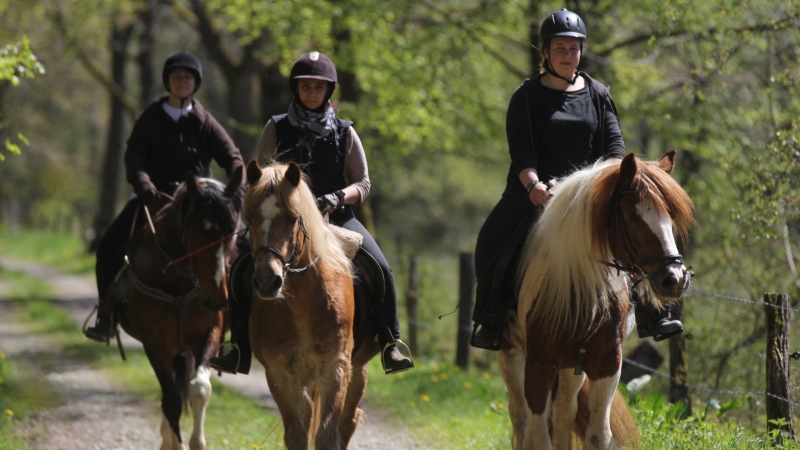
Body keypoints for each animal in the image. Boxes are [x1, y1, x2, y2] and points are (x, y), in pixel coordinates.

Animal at [113, 169, 241, 450]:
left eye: (232, 233)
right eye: (197, 231)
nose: (217, 299)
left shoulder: (209, 333)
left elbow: (199, 389)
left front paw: (196, 441)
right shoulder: (153, 342)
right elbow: (171, 399)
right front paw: (176, 442)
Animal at [244, 162, 382, 450]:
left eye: (293, 218)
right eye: (249, 218)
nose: (267, 281)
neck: (302, 305)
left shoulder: (335, 368)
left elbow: (328, 435)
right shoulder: (280, 375)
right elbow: (297, 435)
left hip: (357, 370)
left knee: (348, 421)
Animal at [500, 152, 692, 450]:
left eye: (669, 216)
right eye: (633, 215)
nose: (675, 279)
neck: (577, 285)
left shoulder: (607, 363)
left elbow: (597, 436)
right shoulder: (538, 364)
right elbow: (537, 438)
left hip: (570, 367)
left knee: (563, 413)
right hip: (512, 355)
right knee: (520, 414)